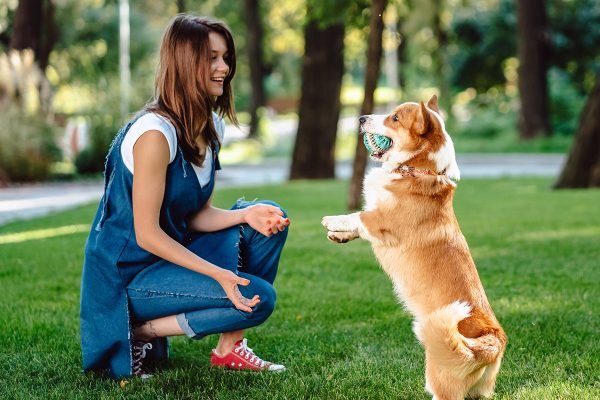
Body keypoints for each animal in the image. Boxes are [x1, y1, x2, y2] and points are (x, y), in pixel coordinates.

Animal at [324, 94, 506, 400]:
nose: (361, 119)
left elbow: (358, 216)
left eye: (394, 118)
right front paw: (339, 236)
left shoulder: (382, 221)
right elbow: (356, 226)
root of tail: (494, 341)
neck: (417, 169)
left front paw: (332, 221)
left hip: (439, 369)